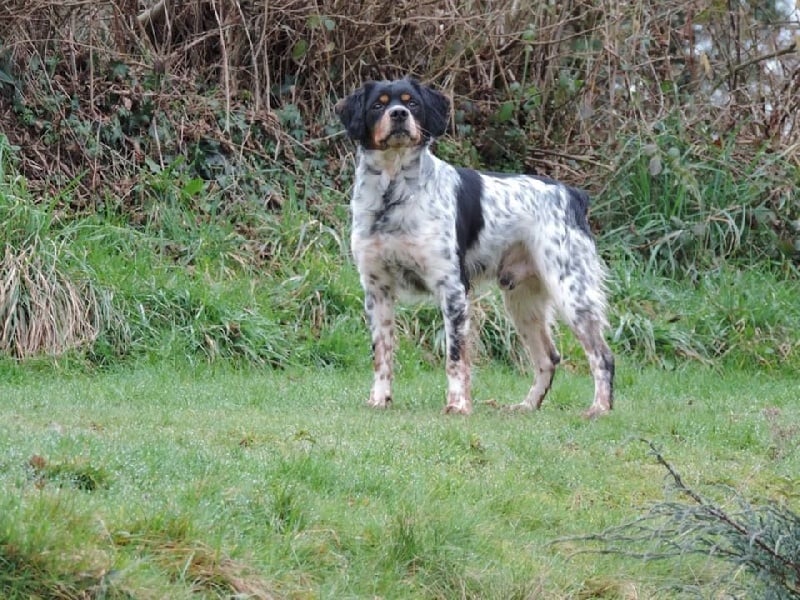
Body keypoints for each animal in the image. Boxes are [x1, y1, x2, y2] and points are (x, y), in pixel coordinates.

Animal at [334, 78, 616, 418]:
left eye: (411, 102)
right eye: (379, 104)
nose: (399, 114)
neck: (393, 190)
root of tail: (572, 194)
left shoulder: (452, 288)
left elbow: (456, 356)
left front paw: (458, 404)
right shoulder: (377, 289)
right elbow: (382, 354)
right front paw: (379, 399)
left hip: (570, 292)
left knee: (602, 355)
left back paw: (599, 408)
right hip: (522, 300)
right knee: (548, 357)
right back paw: (527, 406)